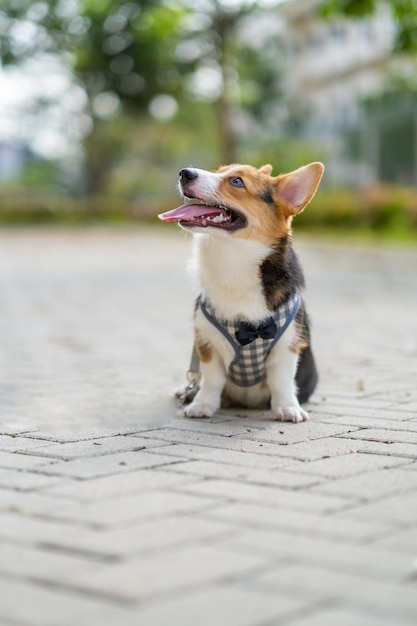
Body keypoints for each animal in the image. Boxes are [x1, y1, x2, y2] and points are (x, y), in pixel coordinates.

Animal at [158, 162, 324, 424]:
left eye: (237, 181)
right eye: (218, 171)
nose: (185, 172)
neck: (233, 260)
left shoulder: (287, 346)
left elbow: (281, 381)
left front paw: (288, 408)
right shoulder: (206, 343)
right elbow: (212, 380)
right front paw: (202, 405)